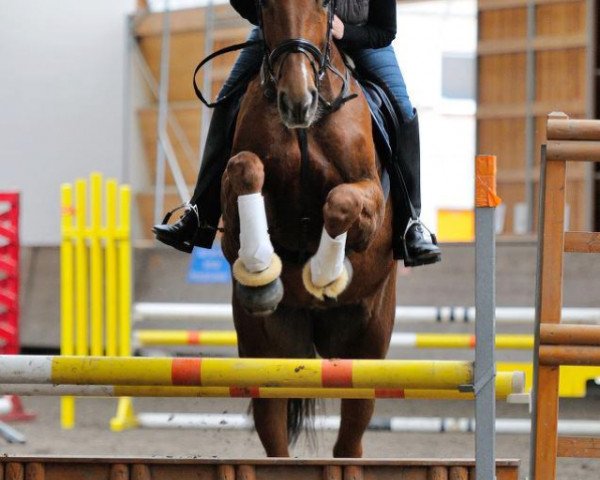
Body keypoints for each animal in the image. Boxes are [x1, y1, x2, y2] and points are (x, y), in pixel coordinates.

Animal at [220, 0, 398, 458]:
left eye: (324, 5)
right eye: (266, 7)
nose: (297, 103)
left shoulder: (369, 196)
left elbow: (341, 203)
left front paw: (324, 272)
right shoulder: (236, 195)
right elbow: (246, 169)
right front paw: (260, 268)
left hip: (366, 347)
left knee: (350, 440)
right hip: (266, 348)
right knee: (275, 438)